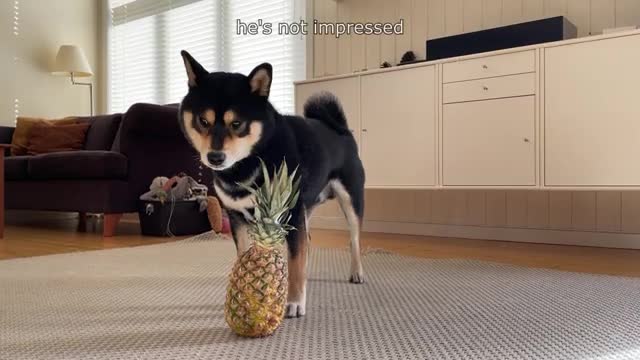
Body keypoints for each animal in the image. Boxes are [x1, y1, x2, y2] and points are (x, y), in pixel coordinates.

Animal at [178, 50, 364, 318]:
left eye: (237, 124)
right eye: (203, 121)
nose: (215, 157)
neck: (247, 164)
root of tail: (340, 128)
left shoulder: (291, 212)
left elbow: (295, 262)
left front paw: (295, 302)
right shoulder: (237, 218)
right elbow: (246, 258)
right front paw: (244, 300)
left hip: (349, 200)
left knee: (354, 239)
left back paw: (356, 272)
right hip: (306, 209)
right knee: (308, 242)